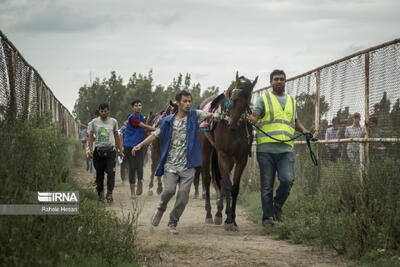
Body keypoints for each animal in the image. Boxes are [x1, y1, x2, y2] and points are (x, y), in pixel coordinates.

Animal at [200, 72, 260, 231]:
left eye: (247, 103)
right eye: (233, 100)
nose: (232, 126)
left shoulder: (241, 158)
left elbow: (234, 187)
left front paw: (232, 219)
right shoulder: (223, 154)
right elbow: (227, 185)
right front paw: (227, 219)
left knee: (221, 179)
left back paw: (219, 213)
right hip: (206, 149)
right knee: (207, 178)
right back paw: (209, 214)